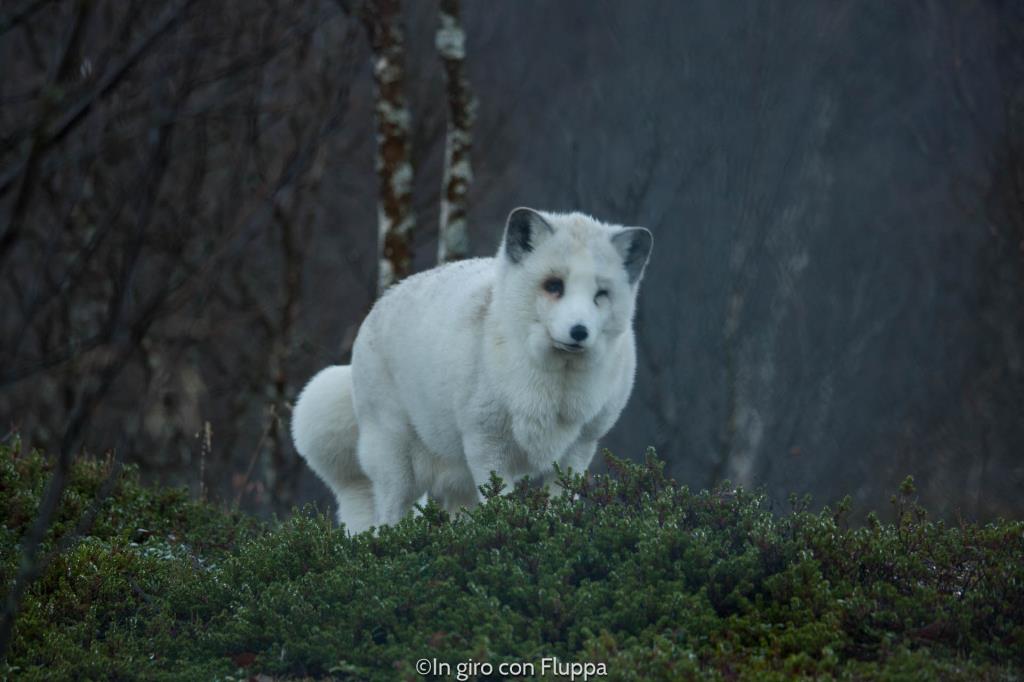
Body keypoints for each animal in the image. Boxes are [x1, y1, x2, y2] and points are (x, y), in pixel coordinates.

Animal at [291, 207, 652, 532]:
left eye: (601, 294)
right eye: (554, 285)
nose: (579, 332)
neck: (554, 386)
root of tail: (379, 304)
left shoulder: (580, 447)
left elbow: (559, 504)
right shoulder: (487, 444)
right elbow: (502, 504)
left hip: (457, 478)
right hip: (396, 463)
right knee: (387, 518)